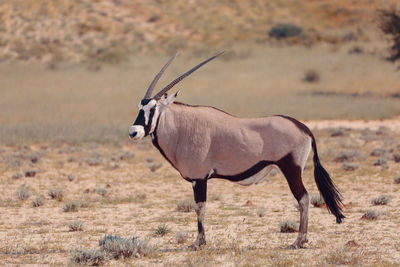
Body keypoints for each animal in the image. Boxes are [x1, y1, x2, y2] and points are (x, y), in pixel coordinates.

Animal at [128, 51, 344, 249]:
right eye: (139, 107)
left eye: (153, 109)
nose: (133, 132)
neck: (182, 127)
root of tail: (304, 127)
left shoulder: (199, 178)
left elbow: (199, 208)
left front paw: (198, 242)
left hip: (291, 169)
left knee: (304, 198)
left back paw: (299, 241)